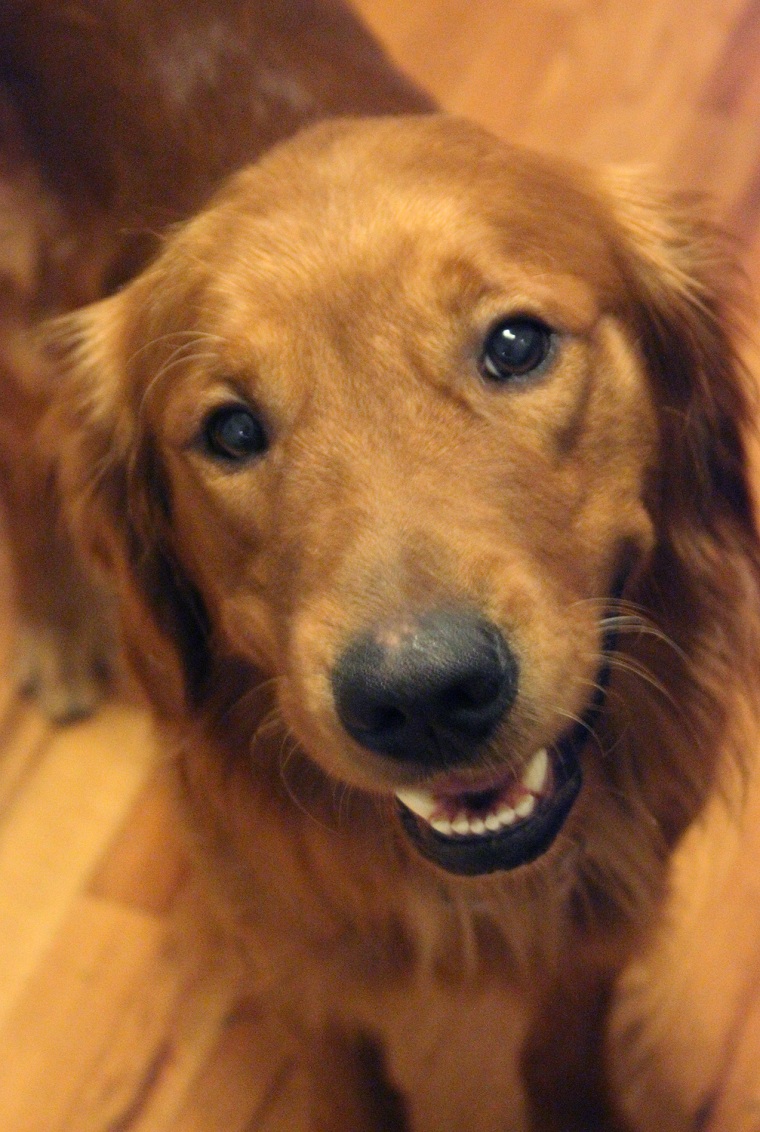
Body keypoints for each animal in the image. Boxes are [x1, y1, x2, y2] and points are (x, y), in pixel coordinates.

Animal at [1, 2, 760, 1132]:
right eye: (231, 430)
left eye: (515, 344)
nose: (425, 697)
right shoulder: (281, 934)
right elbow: (343, 1076)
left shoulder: (612, 902)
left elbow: (565, 1038)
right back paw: (54, 625)